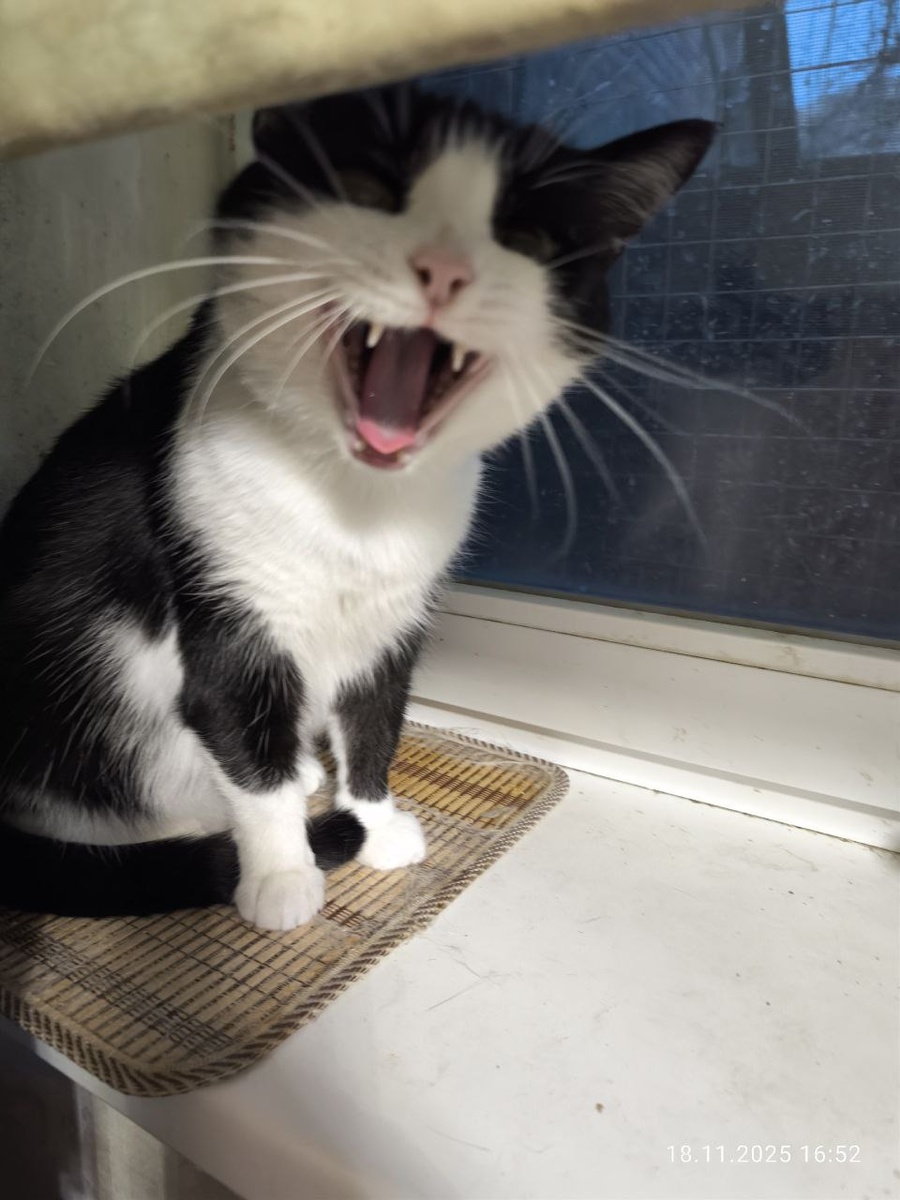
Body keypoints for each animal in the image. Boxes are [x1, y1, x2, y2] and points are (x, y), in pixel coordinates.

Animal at [0, 84, 713, 929]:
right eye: (369, 191)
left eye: (525, 238)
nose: (444, 269)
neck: (357, 504)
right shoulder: (222, 604)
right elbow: (245, 744)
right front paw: (281, 873)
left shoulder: (395, 616)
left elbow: (378, 718)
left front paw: (373, 821)